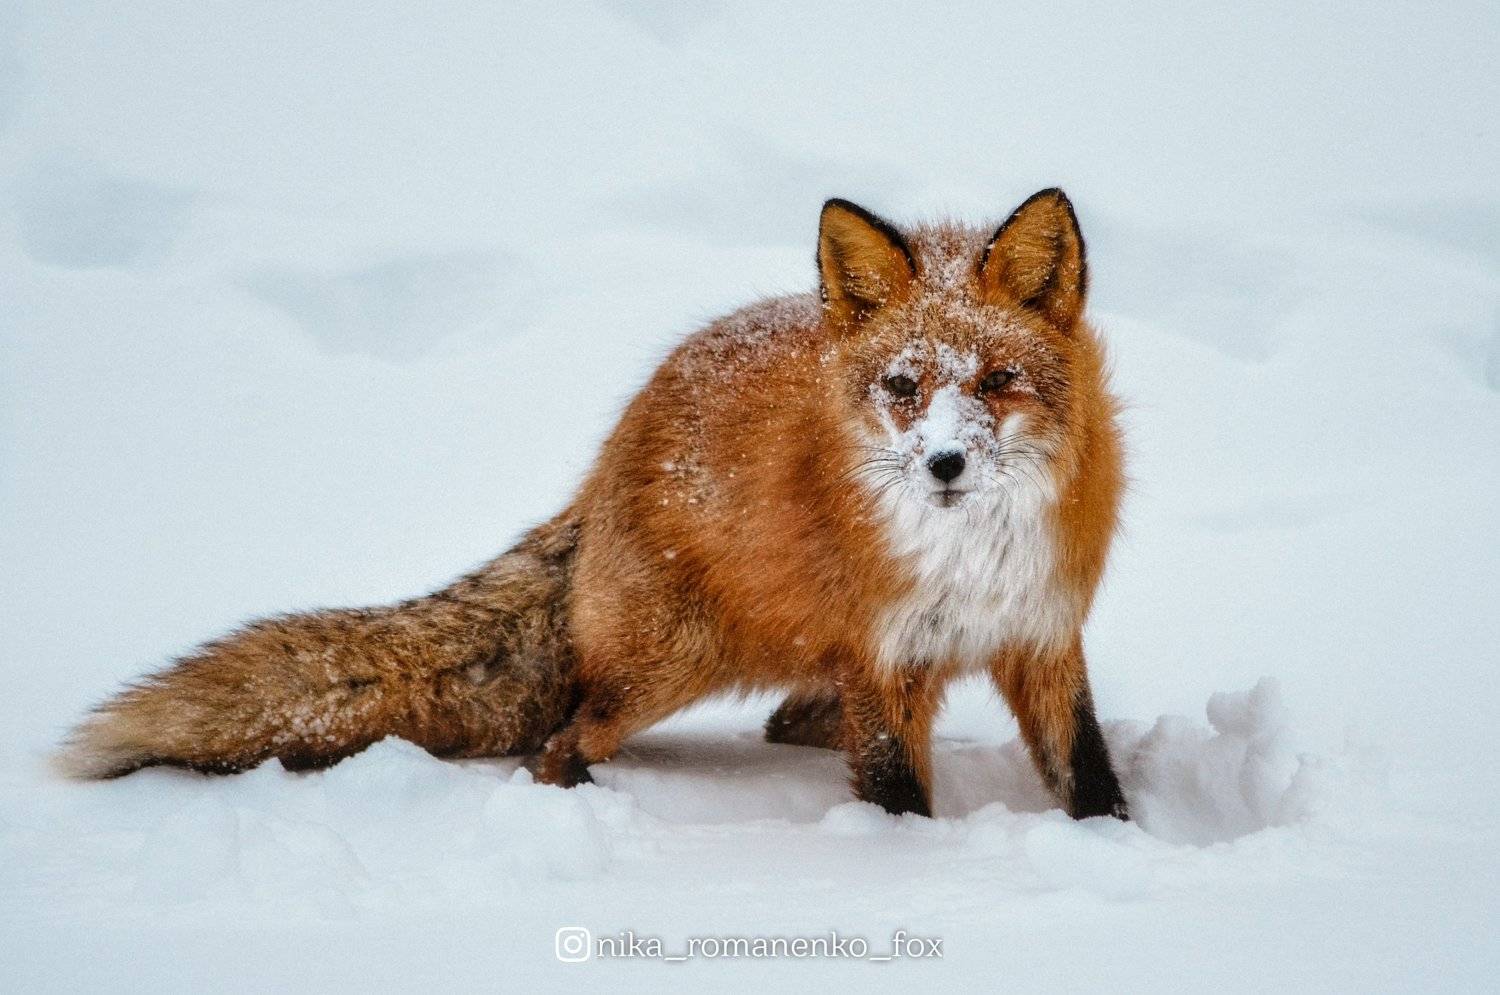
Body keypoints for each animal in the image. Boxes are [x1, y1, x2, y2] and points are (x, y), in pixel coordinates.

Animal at [59, 189, 1129, 820]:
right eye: (904, 387)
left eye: (997, 380)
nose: (945, 463)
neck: (971, 561)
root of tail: (611, 453)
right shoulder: (884, 656)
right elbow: (896, 791)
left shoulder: (1041, 633)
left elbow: (1087, 771)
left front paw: (1113, 840)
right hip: (668, 667)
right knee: (563, 736)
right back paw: (584, 804)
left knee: (785, 720)